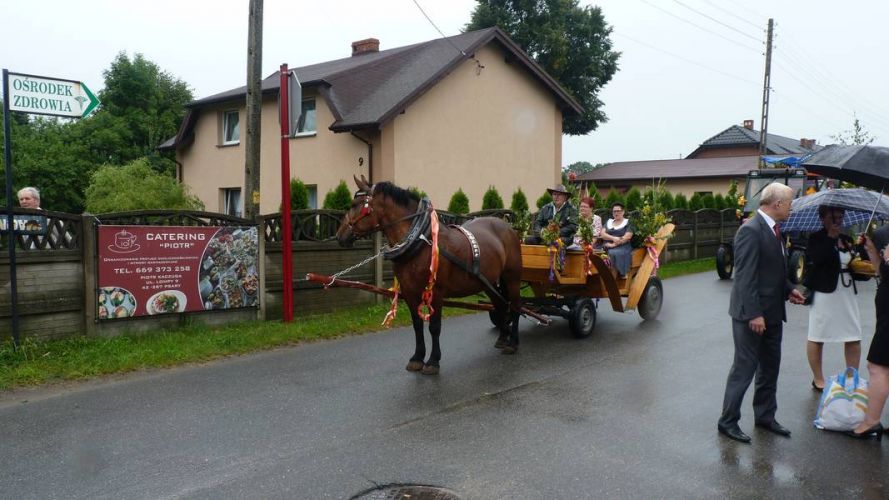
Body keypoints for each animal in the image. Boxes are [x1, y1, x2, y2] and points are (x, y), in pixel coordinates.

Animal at [336, 174, 524, 374]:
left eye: (354, 204)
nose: (339, 236)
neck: (420, 239)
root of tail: (508, 227)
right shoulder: (409, 292)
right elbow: (417, 325)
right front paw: (417, 358)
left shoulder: (436, 292)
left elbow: (434, 327)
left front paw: (433, 360)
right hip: (488, 281)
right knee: (500, 305)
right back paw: (502, 338)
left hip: (512, 278)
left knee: (515, 306)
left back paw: (512, 342)